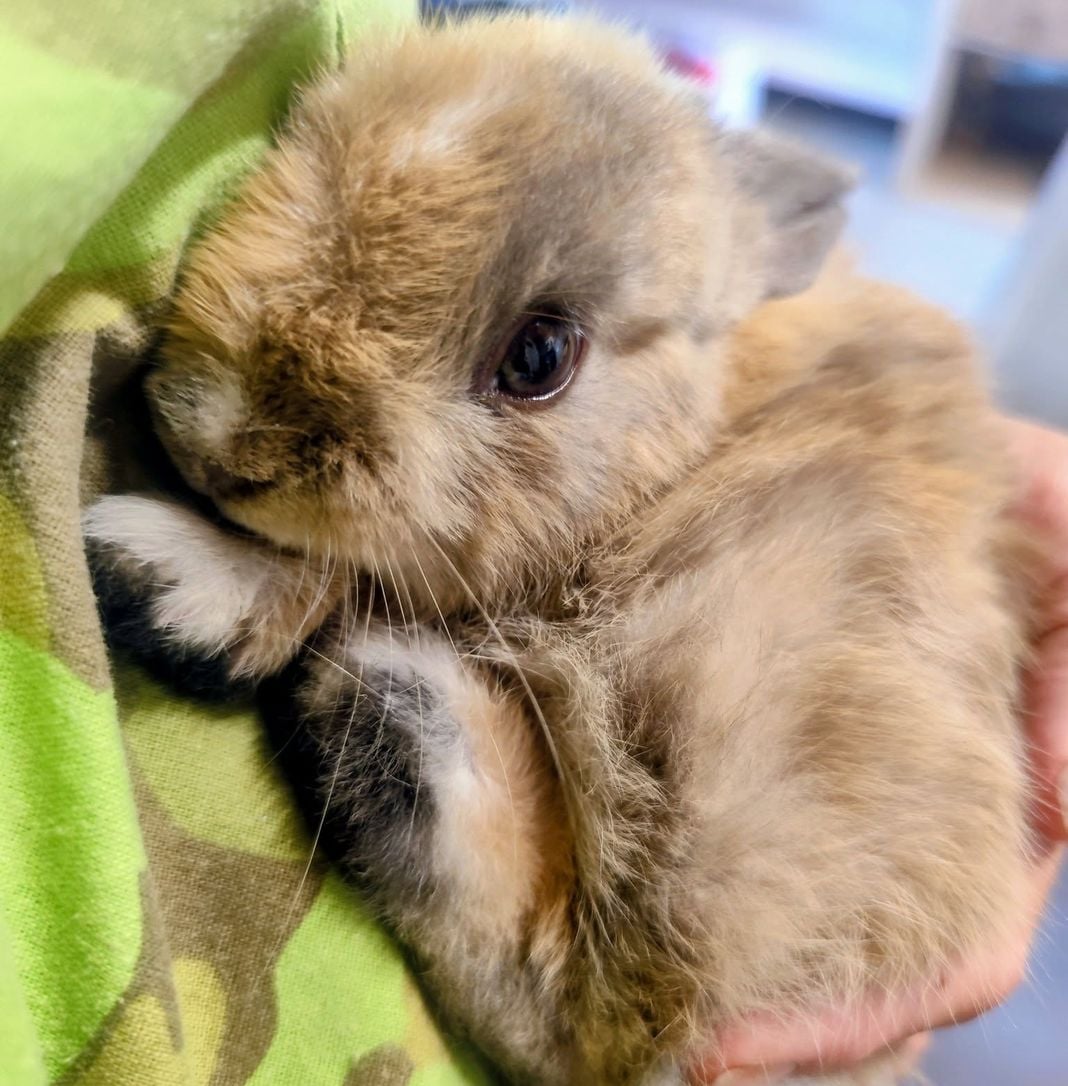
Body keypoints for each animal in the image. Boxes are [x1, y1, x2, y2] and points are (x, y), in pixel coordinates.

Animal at [83, 14, 1041, 1086]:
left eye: (539, 358)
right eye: (306, 140)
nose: (238, 446)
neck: (692, 431)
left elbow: (356, 579)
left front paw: (163, 569)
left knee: (575, 999)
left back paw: (382, 707)